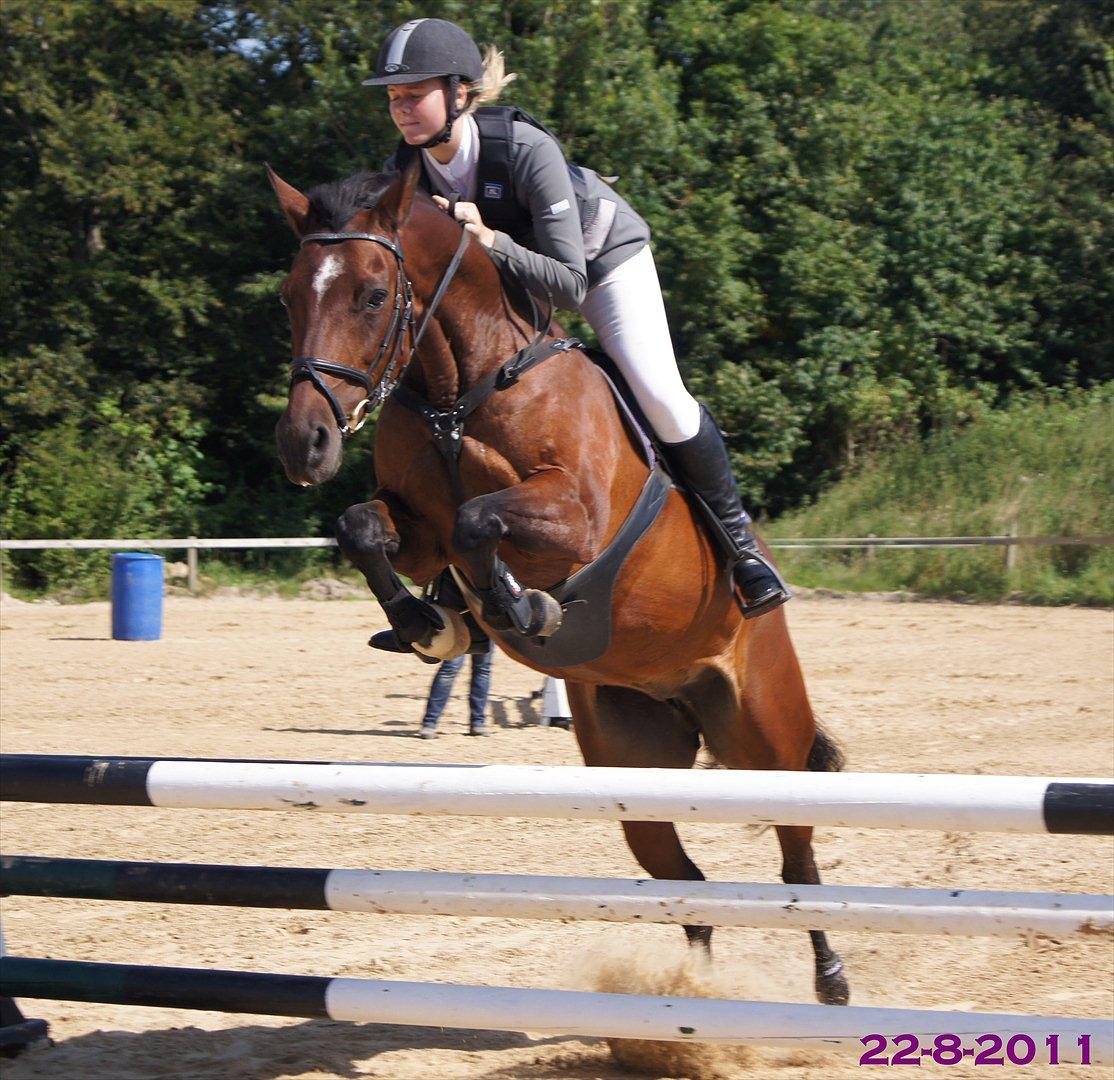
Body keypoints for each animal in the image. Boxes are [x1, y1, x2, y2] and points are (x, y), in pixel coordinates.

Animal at [265, 158, 846, 1003]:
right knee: (686, 882)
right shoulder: (417, 531)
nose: (303, 444)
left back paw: (831, 981)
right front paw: (430, 624)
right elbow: (367, 528)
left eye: (372, 294)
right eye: (289, 294)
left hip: (765, 730)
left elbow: (480, 521)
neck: (460, 392)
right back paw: (689, 996)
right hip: (634, 765)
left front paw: (519, 607)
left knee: (796, 854)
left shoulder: (575, 519)